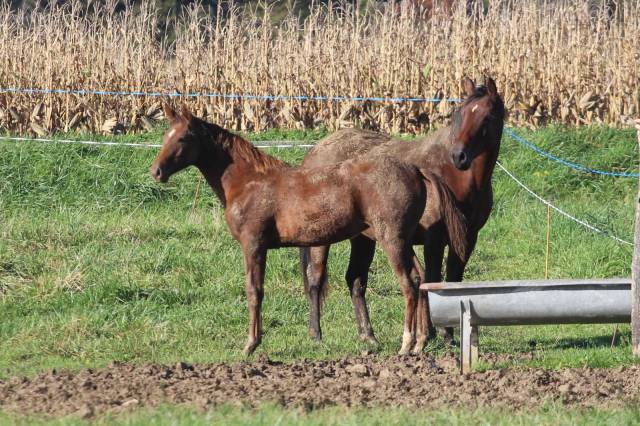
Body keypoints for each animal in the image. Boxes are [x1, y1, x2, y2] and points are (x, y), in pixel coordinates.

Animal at [150, 105, 464, 354]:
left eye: (183, 137)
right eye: (165, 136)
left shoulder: (253, 244)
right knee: (420, 277)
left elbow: (254, 290)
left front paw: (251, 344)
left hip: (392, 239)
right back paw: (421, 341)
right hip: (402, 241)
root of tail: (415, 170)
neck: (249, 182)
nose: (156, 172)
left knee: (409, 282)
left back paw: (407, 343)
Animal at [300, 77, 504, 350]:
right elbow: (431, 279)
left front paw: (448, 336)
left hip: (363, 238)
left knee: (355, 280)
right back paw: (315, 334)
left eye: (487, 116)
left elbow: (453, 280)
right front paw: (430, 334)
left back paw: (368, 335)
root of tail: (315, 152)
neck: (456, 179)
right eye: (459, 114)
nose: (459, 156)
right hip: (324, 236)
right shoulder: (434, 238)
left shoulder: (467, 239)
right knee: (315, 277)